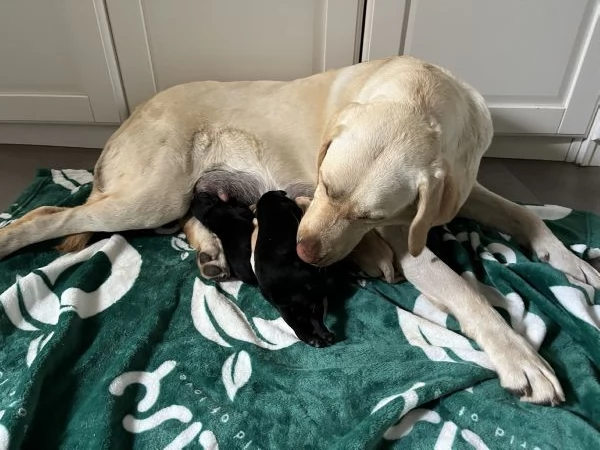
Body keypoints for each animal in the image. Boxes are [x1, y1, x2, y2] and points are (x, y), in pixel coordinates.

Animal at [251, 190, 336, 348]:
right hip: (314, 297)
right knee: (316, 320)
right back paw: (324, 336)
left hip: (286, 311)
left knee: (299, 329)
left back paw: (314, 339)